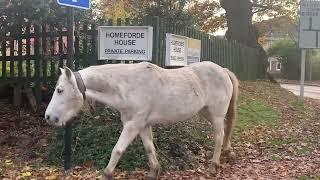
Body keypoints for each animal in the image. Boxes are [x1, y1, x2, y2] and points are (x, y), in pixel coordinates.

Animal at [46, 61, 239, 179]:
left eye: (60, 90)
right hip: (207, 113)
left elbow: (117, 150)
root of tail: (223, 70)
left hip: (216, 115)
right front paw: (154, 171)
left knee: (219, 137)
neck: (127, 86)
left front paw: (106, 174)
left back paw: (213, 165)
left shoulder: (133, 125)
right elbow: (149, 148)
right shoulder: (143, 125)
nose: (48, 117)